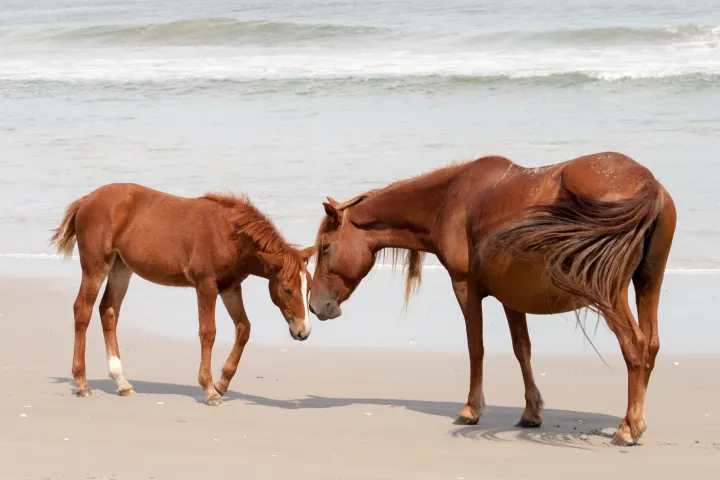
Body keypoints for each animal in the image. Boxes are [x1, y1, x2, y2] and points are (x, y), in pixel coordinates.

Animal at [51, 183, 314, 406]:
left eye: (309, 287)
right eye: (287, 289)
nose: (304, 331)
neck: (229, 235)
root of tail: (86, 200)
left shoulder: (230, 287)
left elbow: (243, 328)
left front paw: (221, 384)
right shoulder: (205, 285)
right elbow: (208, 333)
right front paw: (209, 390)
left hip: (120, 268)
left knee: (108, 311)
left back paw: (122, 382)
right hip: (96, 267)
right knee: (82, 311)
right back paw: (82, 383)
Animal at [308, 152, 675, 446]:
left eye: (325, 247)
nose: (315, 305)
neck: (450, 199)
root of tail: (648, 183)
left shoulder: (465, 287)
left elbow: (476, 348)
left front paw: (471, 409)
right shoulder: (512, 297)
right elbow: (522, 349)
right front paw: (531, 412)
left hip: (610, 292)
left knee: (635, 345)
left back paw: (628, 428)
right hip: (648, 283)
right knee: (651, 345)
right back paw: (635, 421)